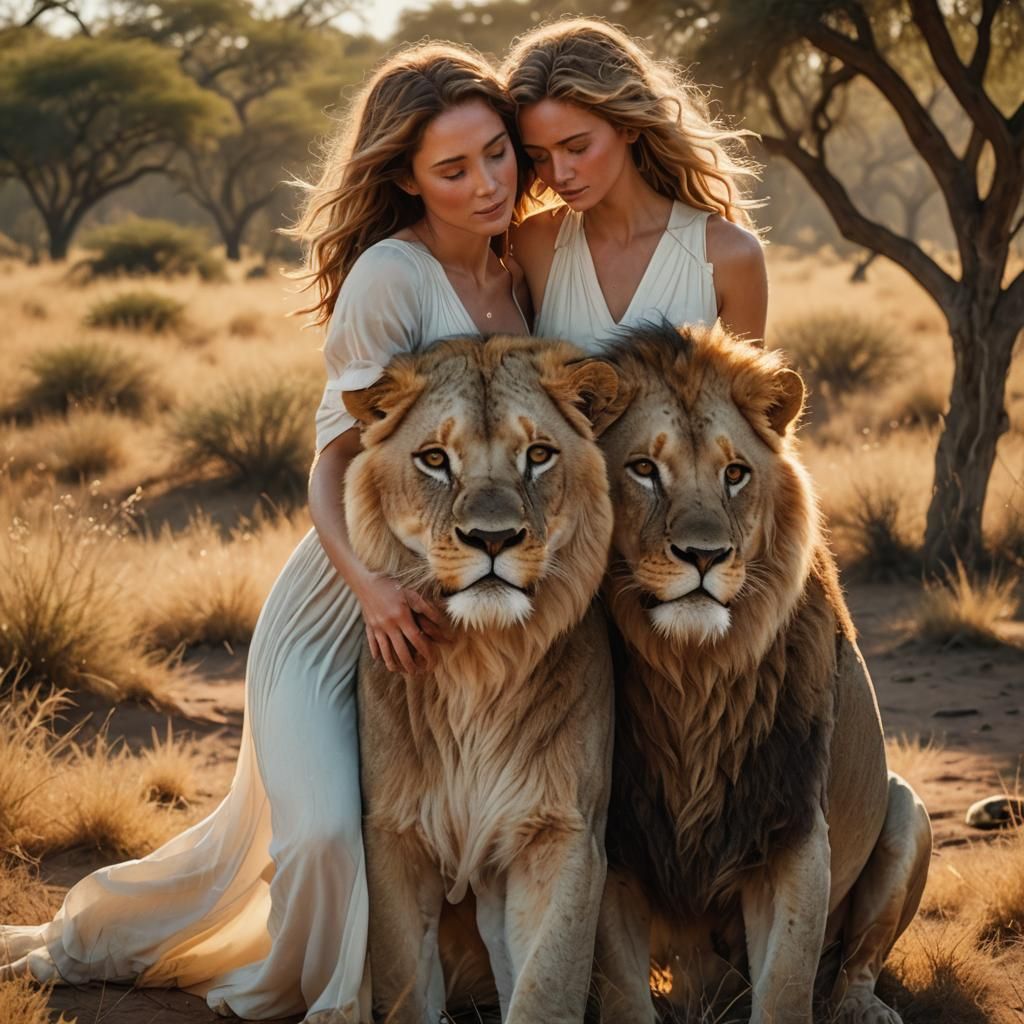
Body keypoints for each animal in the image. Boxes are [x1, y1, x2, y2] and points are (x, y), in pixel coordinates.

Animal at [342, 336, 621, 1024]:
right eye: (435, 459)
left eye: (538, 455)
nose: (492, 540)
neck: (479, 663)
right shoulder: (391, 835)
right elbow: (405, 989)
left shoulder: (564, 833)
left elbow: (546, 988)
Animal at [592, 323, 932, 1024]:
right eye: (643, 469)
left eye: (735, 474)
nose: (703, 555)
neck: (693, 678)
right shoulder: (616, 843)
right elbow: (625, 995)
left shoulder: (791, 830)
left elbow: (786, 988)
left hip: (910, 812)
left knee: (857, 961)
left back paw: (865, 1008)